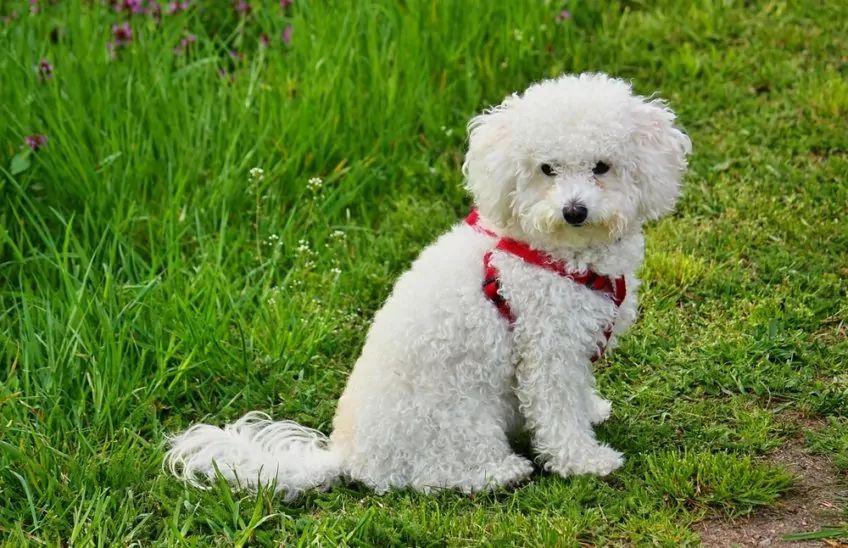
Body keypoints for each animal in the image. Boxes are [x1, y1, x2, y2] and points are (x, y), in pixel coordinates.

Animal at [166, 71, 688, 496]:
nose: (573, 210)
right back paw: (500, 472)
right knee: (436, 477)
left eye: (602, 166)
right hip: (460, 423)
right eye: (547, 169)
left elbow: (578, 396)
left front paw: (592, 411)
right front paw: (584, 461)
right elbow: (559, 413)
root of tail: (345, 456)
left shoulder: (574, 343)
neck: (557, 252)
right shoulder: (547, 350)